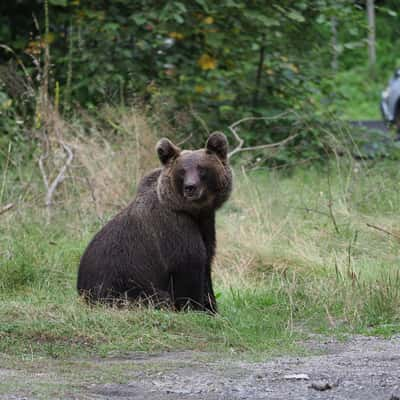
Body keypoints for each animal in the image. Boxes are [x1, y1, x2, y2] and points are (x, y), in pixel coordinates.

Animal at [77, 133, 233, 314]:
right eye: (182, 171)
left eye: (202, 169)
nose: (190, 187)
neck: (193, 212)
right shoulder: (175, 229)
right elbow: (189, 265)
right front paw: (195, 308)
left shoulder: (206, 225)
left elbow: (206, 262)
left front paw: (212, 308)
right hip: (122, 289)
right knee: (157, 297)